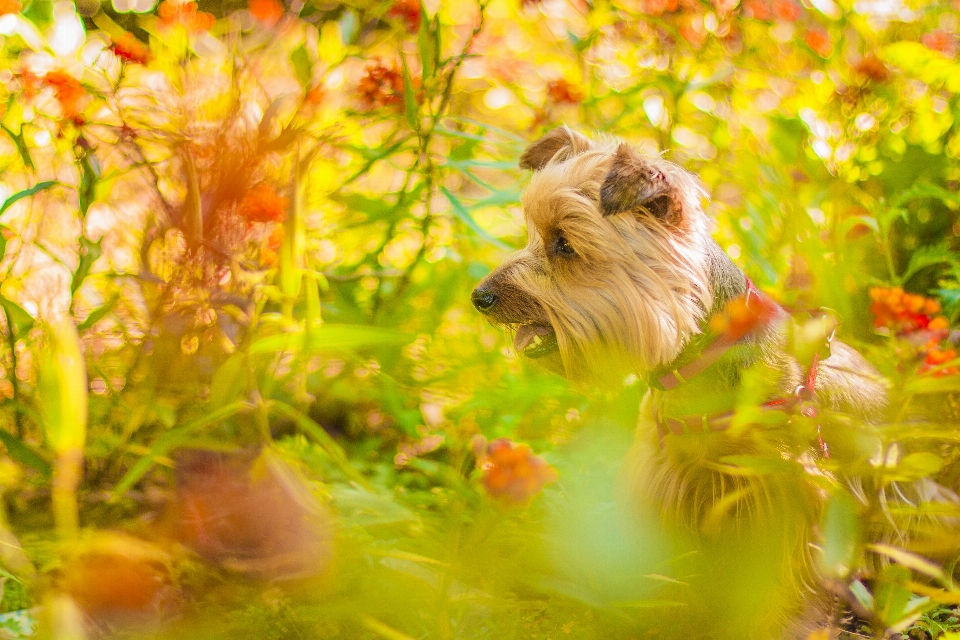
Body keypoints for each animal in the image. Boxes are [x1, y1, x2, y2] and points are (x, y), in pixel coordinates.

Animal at [472, 127, 916, 636]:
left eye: (564, 244)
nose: (479, 297)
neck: (694, 366)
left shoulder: (790, 498)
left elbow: (782, 583)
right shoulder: (661, 479)